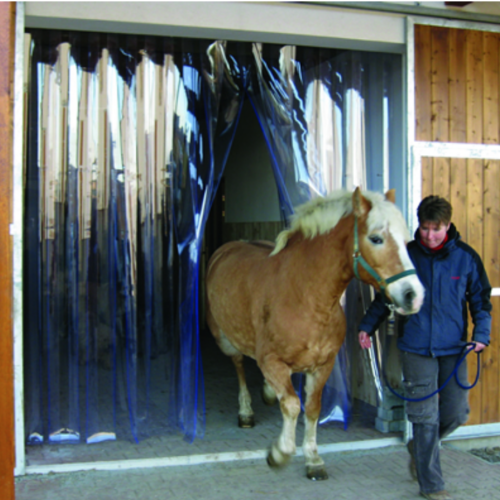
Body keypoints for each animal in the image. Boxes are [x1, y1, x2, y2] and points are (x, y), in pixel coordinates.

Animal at [205, 188, 424, 480]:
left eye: (405, 238)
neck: (305, 296)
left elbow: (311, 408)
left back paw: (267, 393)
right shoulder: (272, 361)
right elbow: (292, 404)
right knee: (239, 365)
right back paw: (246, 411)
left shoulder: (322, 366)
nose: (413, 295)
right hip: (225, 340)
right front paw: (280, 453)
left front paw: (313, 459)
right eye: (376, 238)